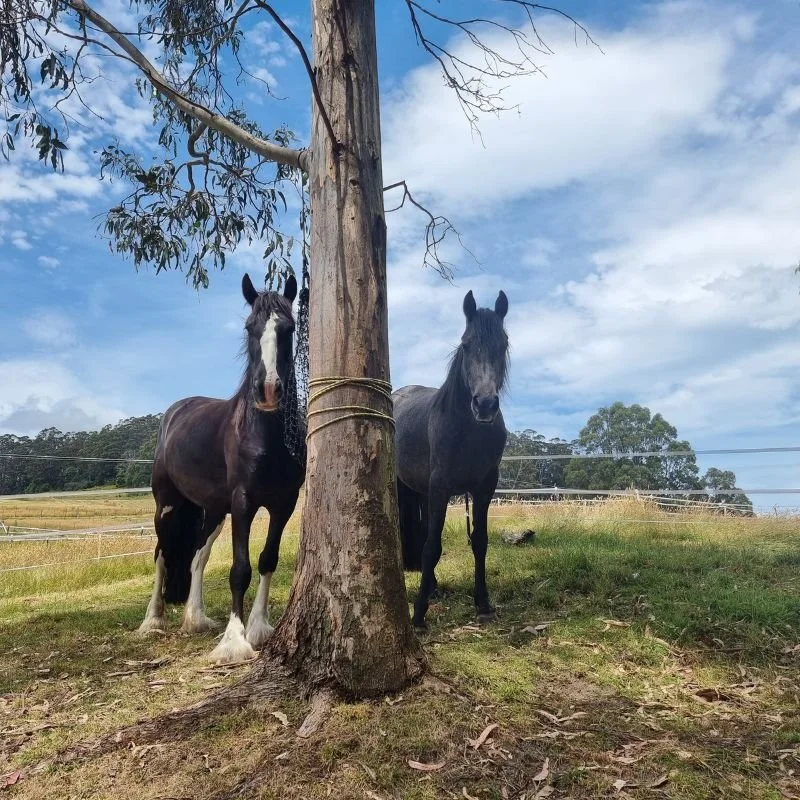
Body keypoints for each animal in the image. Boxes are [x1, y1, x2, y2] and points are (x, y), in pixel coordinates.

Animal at [139, 276, 304, 664]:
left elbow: (267, 560)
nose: (268, 390)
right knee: (161, 555)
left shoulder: (284, 504)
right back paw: (153, 620)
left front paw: (258, 627)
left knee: (197, 556)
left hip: (214, 509)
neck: (265, 436)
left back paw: (195, 618)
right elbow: (240, 569)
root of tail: (175, 412)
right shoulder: (243, 502)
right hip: (167, 506)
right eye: (249, 327)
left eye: (289, 328)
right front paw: (234, 641)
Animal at [392, 288, 506, 632]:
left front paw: (483, 604)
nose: (485, 405)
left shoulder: (484, 488)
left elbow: (479, 541)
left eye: (504, 344)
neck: (468, 431)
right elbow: (431, 548)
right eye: (466, 344)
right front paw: (418, 616)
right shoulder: (441, 487)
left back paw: (432, 587)